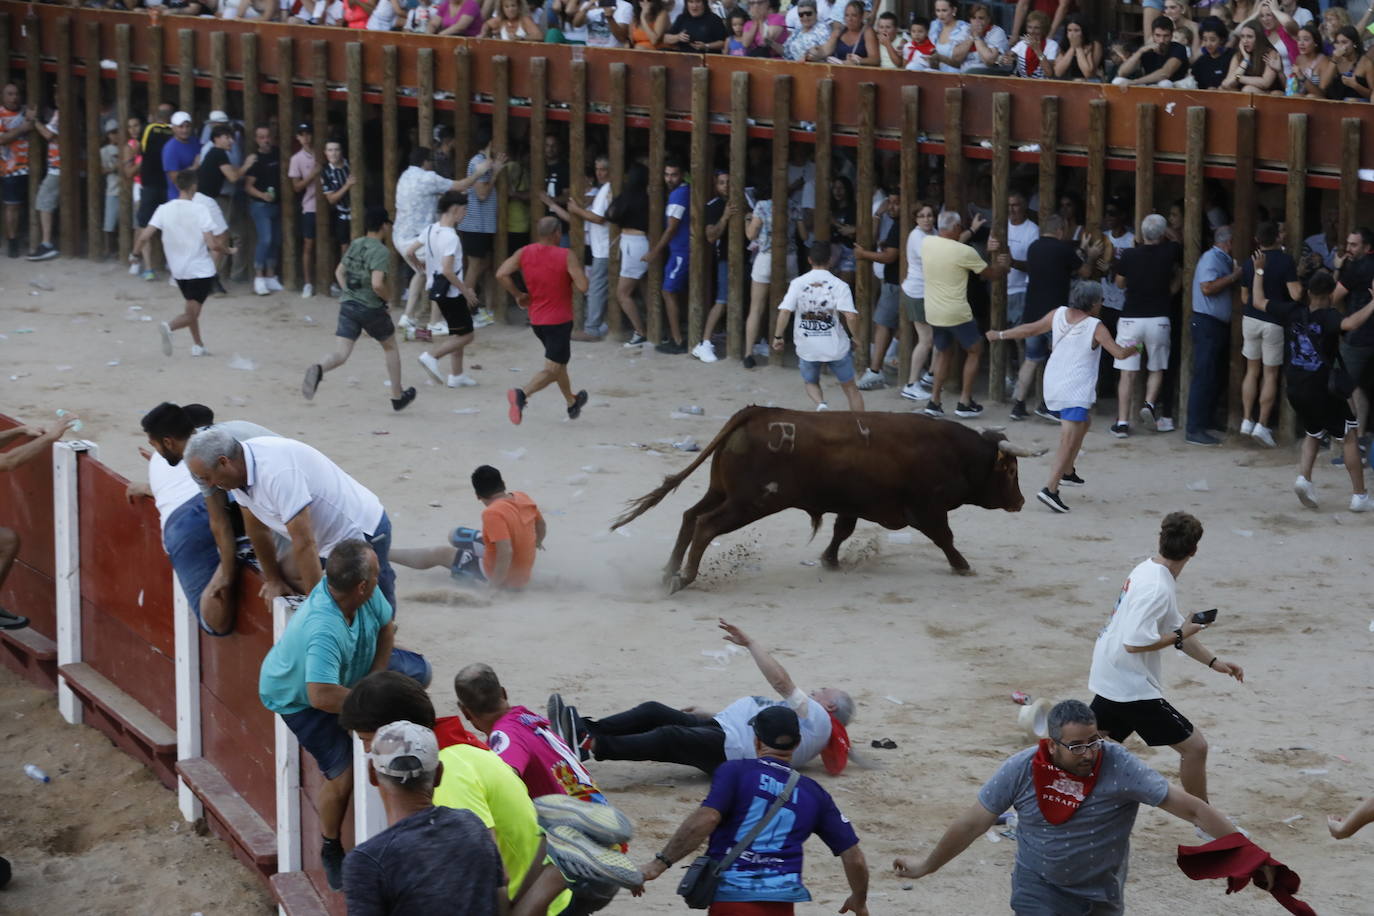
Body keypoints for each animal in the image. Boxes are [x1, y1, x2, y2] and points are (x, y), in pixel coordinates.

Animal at [612, 403, 1038, 590]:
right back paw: (684, 578)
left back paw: (669, 570)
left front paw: (829, 560)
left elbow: (841, 531)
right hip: (750, 502)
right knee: (705, 524)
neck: (955, 453)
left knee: (689, 516)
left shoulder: (854, 505)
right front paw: (963, 566)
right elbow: (945, 538)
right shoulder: (926, 509)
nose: (1020, 502)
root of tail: (756, 411)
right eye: (1011, 471)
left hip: (722, 491)